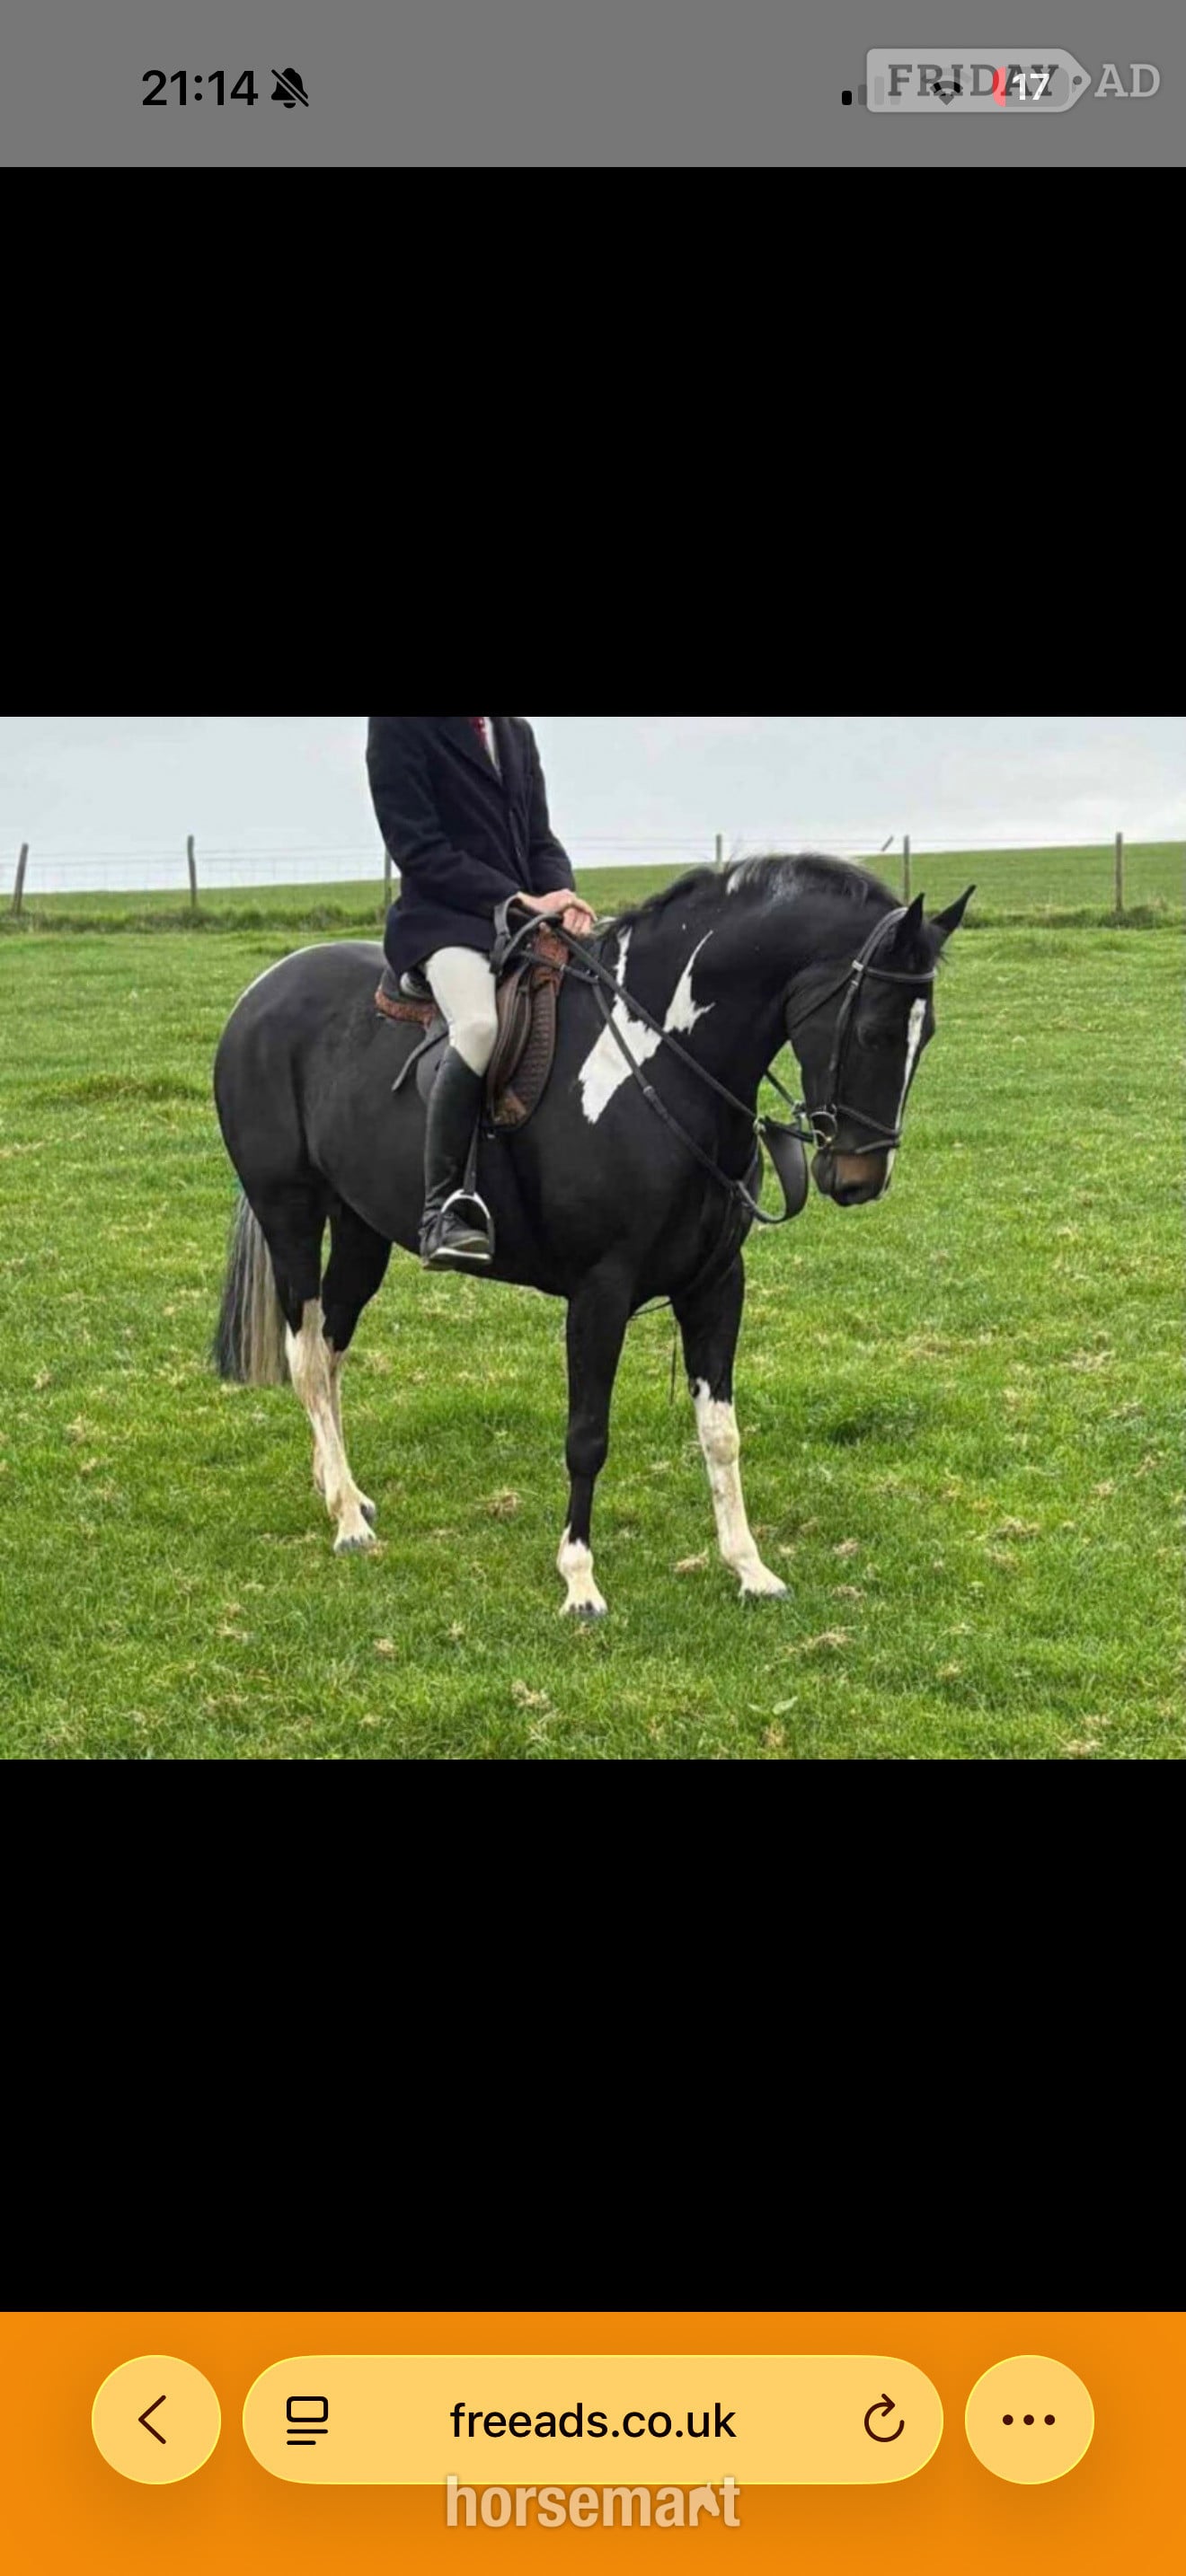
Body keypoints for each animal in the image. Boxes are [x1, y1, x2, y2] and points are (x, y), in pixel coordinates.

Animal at [212, 855, 973, 1615]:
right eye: (873, 1030)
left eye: (928, 1033)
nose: (860, 1179)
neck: (654, 1062)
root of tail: (260, 994)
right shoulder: (599, 1293)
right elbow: (587, 1435)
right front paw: (579, 1581)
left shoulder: (716, 1283)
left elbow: (721, 1433)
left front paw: (750, 1567)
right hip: (290, 1215)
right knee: (307, 1355)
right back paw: (346, 1519)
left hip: (362, 1227)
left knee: (332, 1343)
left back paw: (340, 1487)